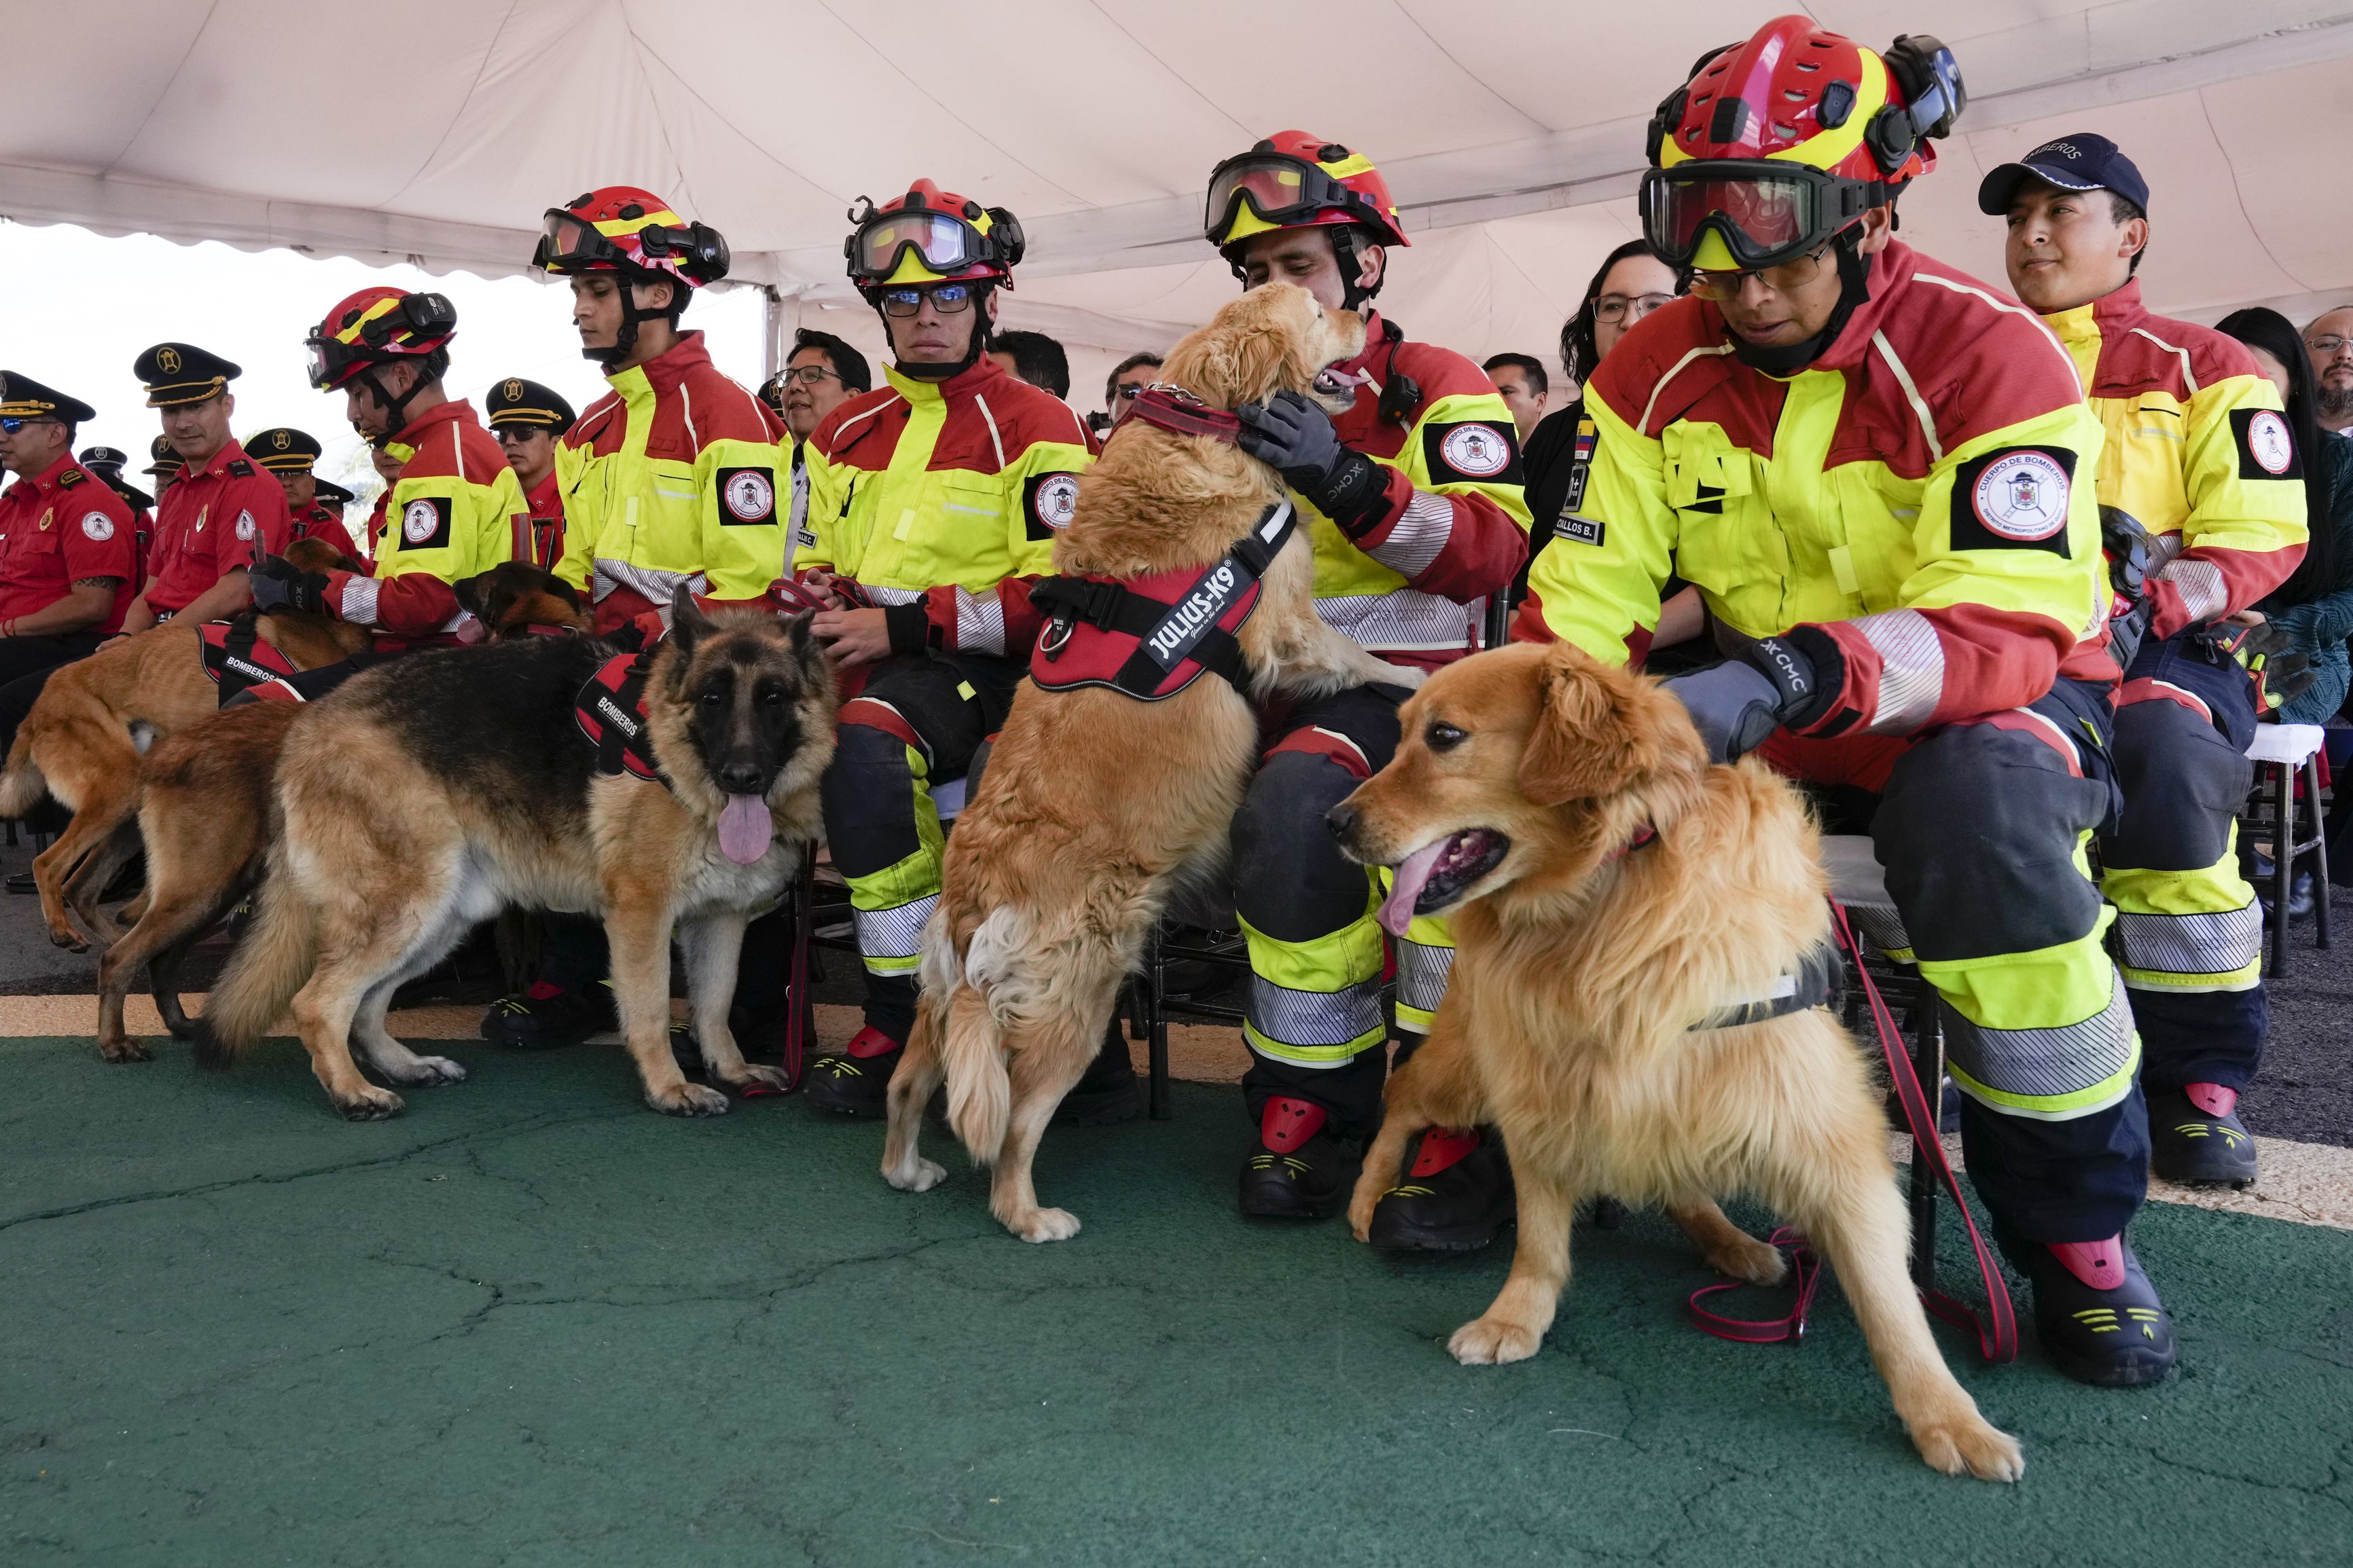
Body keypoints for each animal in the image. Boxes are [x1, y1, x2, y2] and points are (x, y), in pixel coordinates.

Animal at [0, 536, 367, 959]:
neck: (304, 620)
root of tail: (38, 709)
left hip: (131, 809)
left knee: (80, 886)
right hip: (118, 792)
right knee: (48, 866)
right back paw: (65, 931)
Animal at [193, 585, 838, 1114]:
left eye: (774, 698)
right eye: (711, 699)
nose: (742, 776)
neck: (672, 756)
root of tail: (307, 723)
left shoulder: (723, 920)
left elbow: (715, 1005)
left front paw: (732, 1070)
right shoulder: (642, 915)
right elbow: (653, 1009)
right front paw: (669, 1087)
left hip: (442, 918)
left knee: (368, 1005)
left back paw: (406, 1067)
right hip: (406, 907)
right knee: (318, 1003)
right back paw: (354, 1093)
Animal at [884, 278, 1412, 1241]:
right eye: (1318, 312)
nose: (1372, 319)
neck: (1203, 416)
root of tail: (975, 904)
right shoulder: (1288, 626)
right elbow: (1358, 656)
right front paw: (1412, 677)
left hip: (939, 1001)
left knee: (908, 1085)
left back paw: (907, 1169)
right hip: (1083, 994)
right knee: (1012, 1124)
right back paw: (1030, 1215)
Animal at [1327, 639, 2024, 1485]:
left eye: (1444, 737)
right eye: (1401, 734)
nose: (1332, 822)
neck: (1603, 894)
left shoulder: (1823, 1130)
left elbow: (1890, 1299)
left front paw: (1946, 1415)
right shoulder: (1538, 1085)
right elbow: (1538, 1237)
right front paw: (1515, 1314)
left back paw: (1732, 1242)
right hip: (1471, 1067)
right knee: (1401, 1092)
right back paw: (1368, 1193)